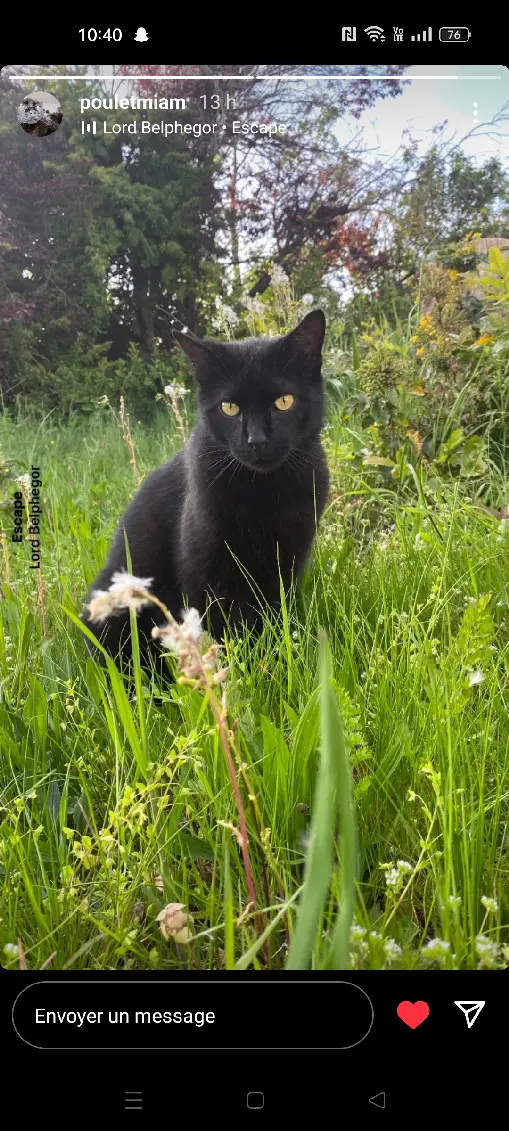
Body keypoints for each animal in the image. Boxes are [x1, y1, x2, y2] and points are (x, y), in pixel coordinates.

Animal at [81, 307, 330, 669]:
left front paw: (271, 659)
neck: (262, 493)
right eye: (230, 407)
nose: (257, 441)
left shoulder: (286, 563)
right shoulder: (204, 571)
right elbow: (218, 626)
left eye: (284, 402)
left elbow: (271, 615)